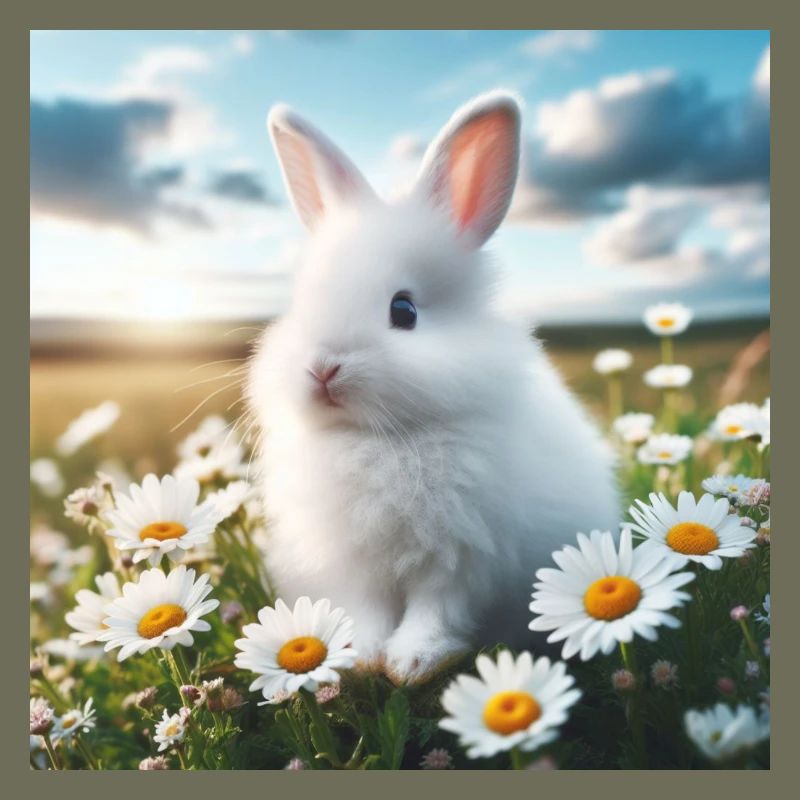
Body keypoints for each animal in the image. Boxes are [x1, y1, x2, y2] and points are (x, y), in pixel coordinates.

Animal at [246, 90, 620, 685]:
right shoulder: (356, 565)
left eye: (404, 310)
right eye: (301, 304)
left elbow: (435, 611)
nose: (322, 368)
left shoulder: (461, 557)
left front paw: (412, 663)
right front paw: (357, 657)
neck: (377, 440)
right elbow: (369, 611)